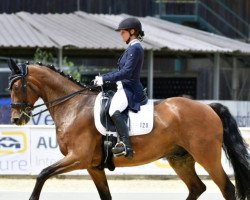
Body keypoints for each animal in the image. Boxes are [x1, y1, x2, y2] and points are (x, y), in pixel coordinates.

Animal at [8, 59, 250, 200]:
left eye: (18, 86)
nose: (16, 119)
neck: (73, 107)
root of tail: (208, 107)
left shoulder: (78, 157)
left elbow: (42, 174)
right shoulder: (93, 166)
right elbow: (105, 196)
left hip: (206, 155)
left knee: (226, 188)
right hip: (179, 158)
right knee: (197, 188)